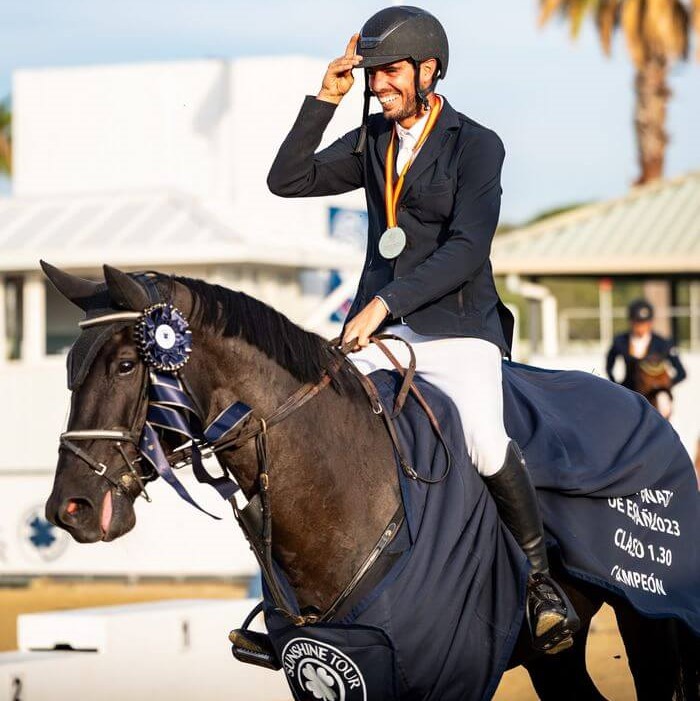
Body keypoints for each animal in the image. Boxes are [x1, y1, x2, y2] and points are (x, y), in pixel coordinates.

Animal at [43, 264, 700, 700]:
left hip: (651, 622)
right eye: (69, 368)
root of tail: (640, 406)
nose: (69, 509)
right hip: (554, 659)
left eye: (127, 364)